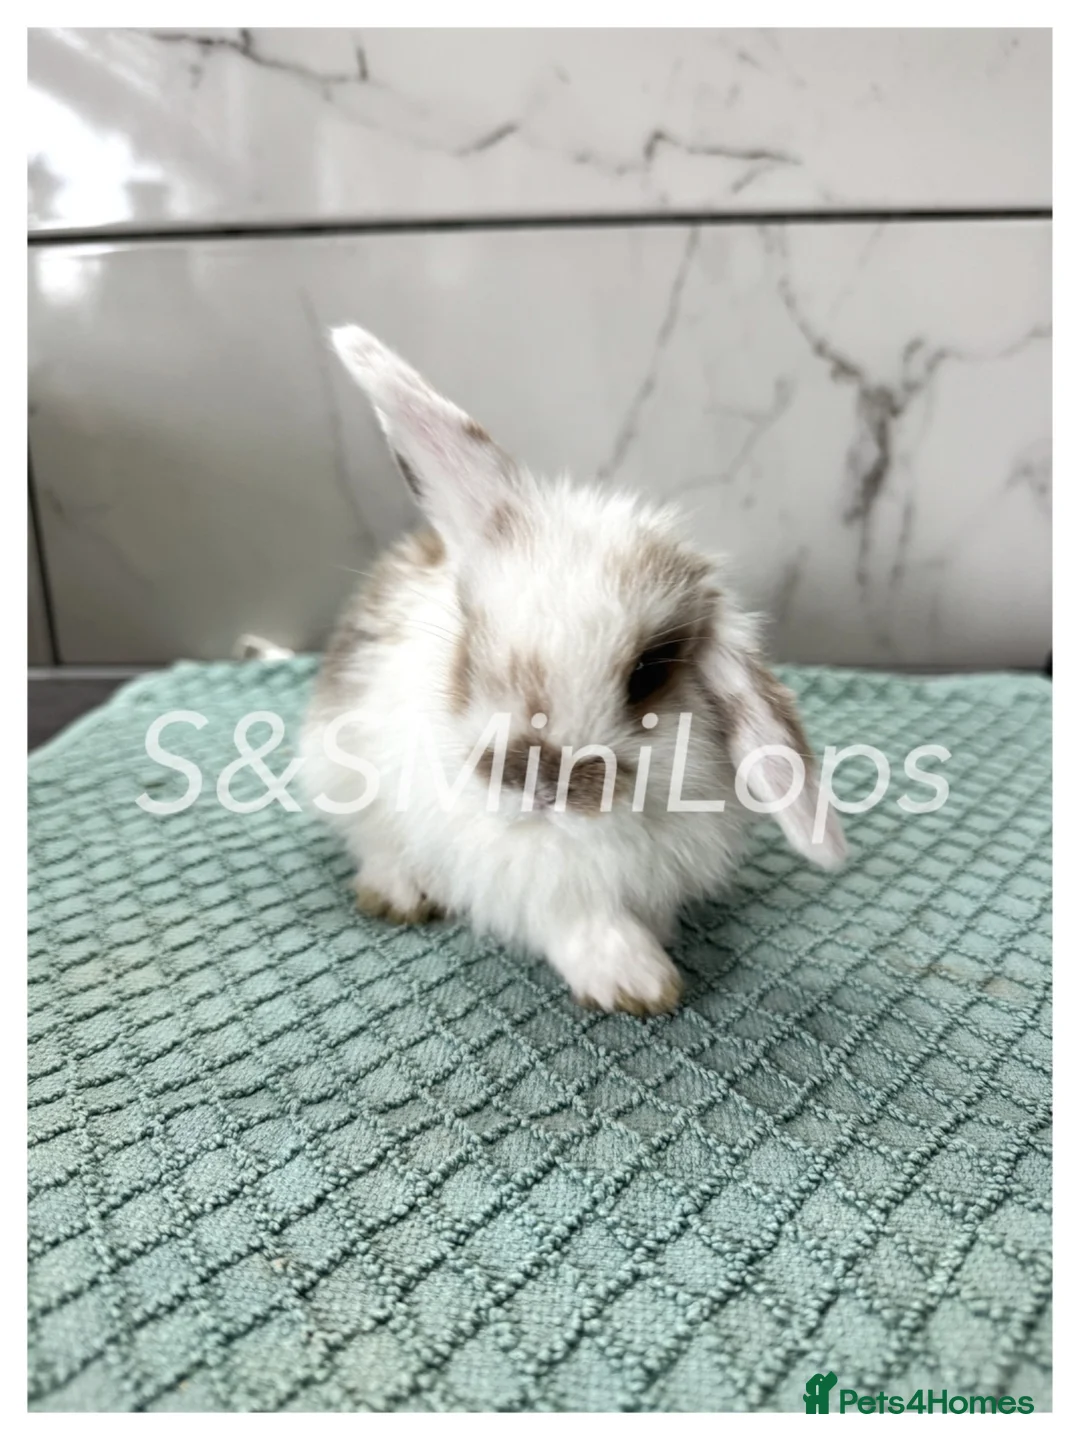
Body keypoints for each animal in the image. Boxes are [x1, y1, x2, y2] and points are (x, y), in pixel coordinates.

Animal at [301, 325, 846, 1015]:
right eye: (470, 651)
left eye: (649, 672)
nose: (536, 782)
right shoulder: (520, 872)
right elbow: (574, 920)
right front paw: (636, 981)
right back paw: (400, 890)